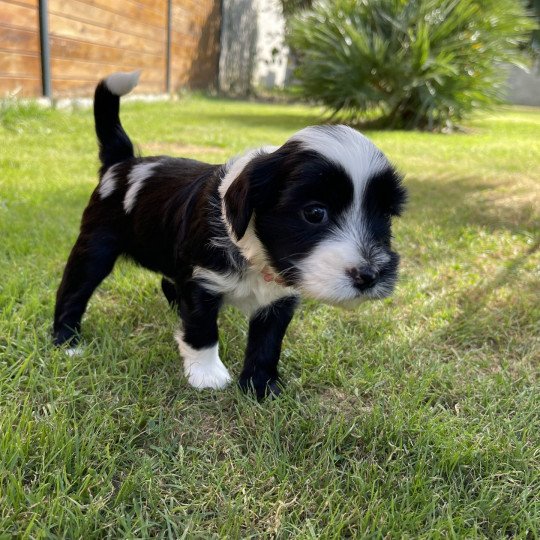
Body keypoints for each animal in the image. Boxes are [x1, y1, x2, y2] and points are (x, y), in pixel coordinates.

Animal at [53, 71, 404, 398]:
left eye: (385, 215)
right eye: (315, 213)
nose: (370, 275)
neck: (254, 255)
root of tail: (123, 163)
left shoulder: (278, 299)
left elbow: (267, 342)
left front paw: (260, 386)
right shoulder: (200, 279)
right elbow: (202, 329)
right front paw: (207, 375)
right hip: (95, 245)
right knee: (74, 288)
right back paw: (66, 341)